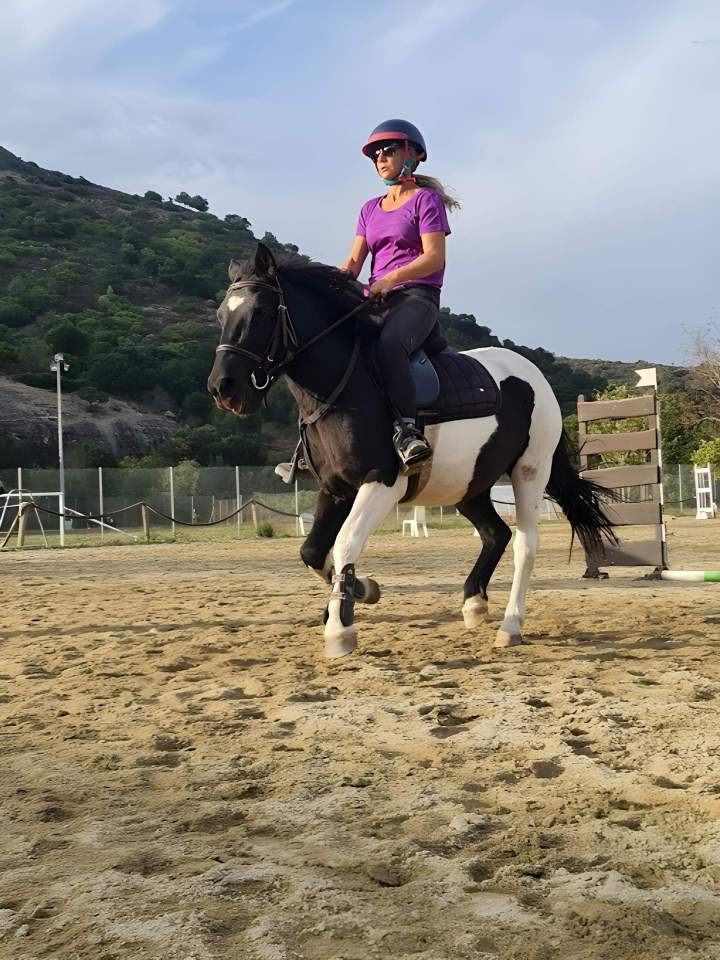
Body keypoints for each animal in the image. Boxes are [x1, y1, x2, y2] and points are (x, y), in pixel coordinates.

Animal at [207, 243, 615, 659]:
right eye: (222, 314)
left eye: (259, 313)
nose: (223, 388)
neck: (344, 387)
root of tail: (535, 376)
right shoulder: (334, 489)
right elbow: (314, 552)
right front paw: (362, 590)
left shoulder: (382, 483)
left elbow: (345, 543)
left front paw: (340, 628)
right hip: (470, 485)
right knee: (494, 533)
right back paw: (474, 603)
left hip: (529, 472)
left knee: (524, 544)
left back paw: (510, 625)